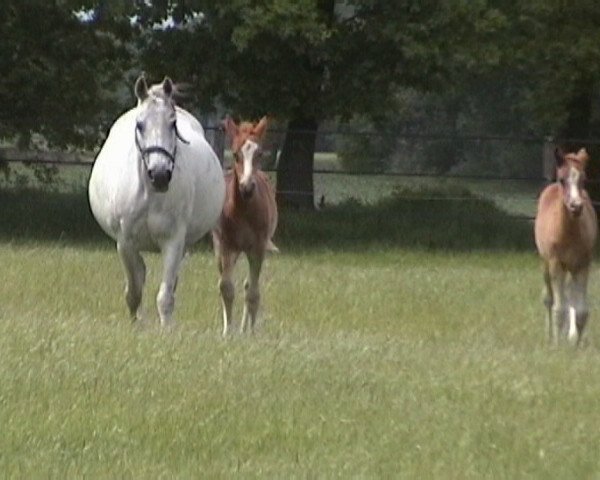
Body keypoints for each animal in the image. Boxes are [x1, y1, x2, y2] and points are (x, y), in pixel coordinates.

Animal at [86, 75, 223, 328]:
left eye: (173, 124)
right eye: (140, 124)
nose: (159, 175)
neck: (150, 195)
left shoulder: (174, 241)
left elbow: (165, 296)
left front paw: (167, 329)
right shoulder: (125, 243)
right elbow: (134, 291)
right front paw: (135, 325)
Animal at [212, 116, 278, 336]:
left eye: (259, 154)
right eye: (235, 154)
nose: (247, 187)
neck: (242, 211)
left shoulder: (257, 248)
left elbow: (253, 293)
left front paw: (250, 333)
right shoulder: (226, 246)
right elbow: (226, 288)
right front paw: (227, 332)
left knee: (249, 285)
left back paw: (245, 328)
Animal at [536, 147, 596, 344]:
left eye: (583, 179)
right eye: (563, 179)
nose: (576, 207)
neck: (568, 232)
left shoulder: (583, 264)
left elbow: (581, 311)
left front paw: (576, 345)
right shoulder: (556, 263)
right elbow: (558, 309)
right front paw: (556, 345)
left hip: (572, 268)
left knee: (569, 295)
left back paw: (569, 335)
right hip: (546, 264)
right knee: (549, 298)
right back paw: (550, 336)